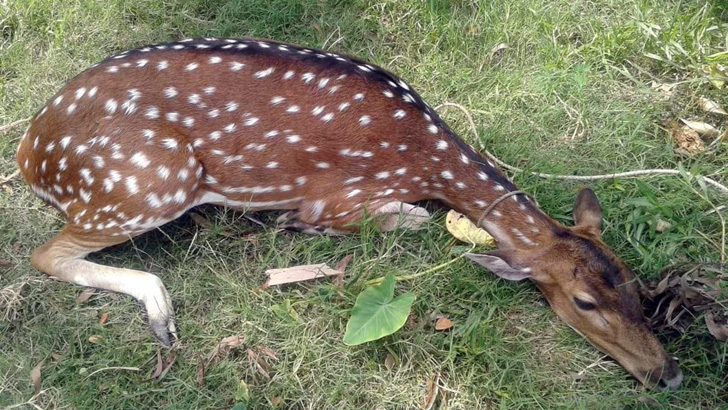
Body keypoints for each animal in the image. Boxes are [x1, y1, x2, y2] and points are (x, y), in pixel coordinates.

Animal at [14, 37, 684, 390]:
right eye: (584, 303)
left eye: (636, 287)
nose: (667, 374)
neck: (428, 159)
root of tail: (29, 153)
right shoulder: (332, 196)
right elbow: (404, 218)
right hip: (149, 178)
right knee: (43, 253)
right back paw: (161, 314)